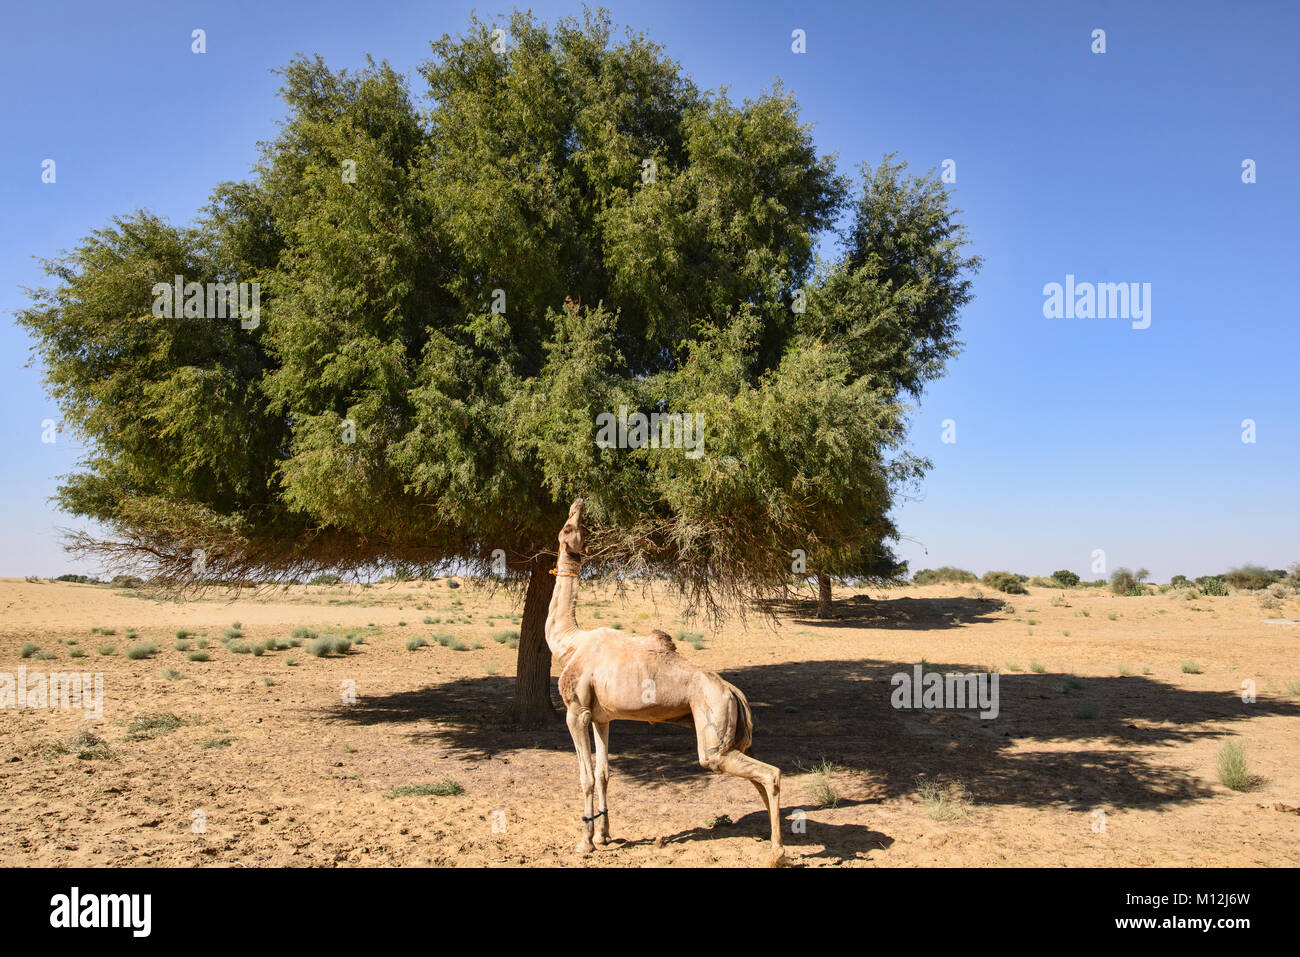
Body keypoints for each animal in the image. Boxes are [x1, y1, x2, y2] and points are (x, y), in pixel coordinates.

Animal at [540, 501, 780, 858]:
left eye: (571, 528)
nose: (578, 505)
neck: (568, 643)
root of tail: (734, 692)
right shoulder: (601, 717)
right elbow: (603, 773)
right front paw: (604, 836)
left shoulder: (576, 711)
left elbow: (586, 777)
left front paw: (584, 843)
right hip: (731, 734)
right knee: (759, 774)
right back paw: (771, 844)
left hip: (714, 728)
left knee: (767, 773)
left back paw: (778, 852)